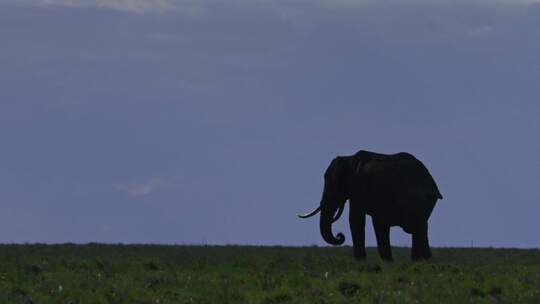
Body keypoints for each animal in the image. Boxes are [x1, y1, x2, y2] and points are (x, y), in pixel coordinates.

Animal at [298, 151, 440, 260]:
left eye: (334, 184)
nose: (340, 236)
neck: (348, 159)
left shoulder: (358, 188)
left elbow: (355, 220)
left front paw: (360, 260)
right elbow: (379, 225)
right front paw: (388, 261)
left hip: (415, 200)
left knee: (417, 227)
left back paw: (419, 260)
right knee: (421, 227)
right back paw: (425, 259)